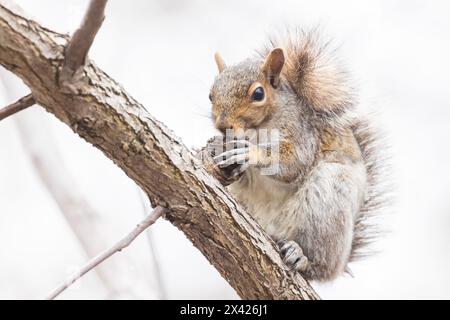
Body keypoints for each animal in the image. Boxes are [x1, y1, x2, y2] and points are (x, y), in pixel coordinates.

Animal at [199, 29, 384, 280]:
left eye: (258, 94)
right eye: (210, 95)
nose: (222, 126)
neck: (257, 129)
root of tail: (342, 262)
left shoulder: (303, 136)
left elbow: (292, 163)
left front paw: (251, 153)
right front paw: (213, 147)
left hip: (327, 205)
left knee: (319, 265)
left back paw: (302, 257)